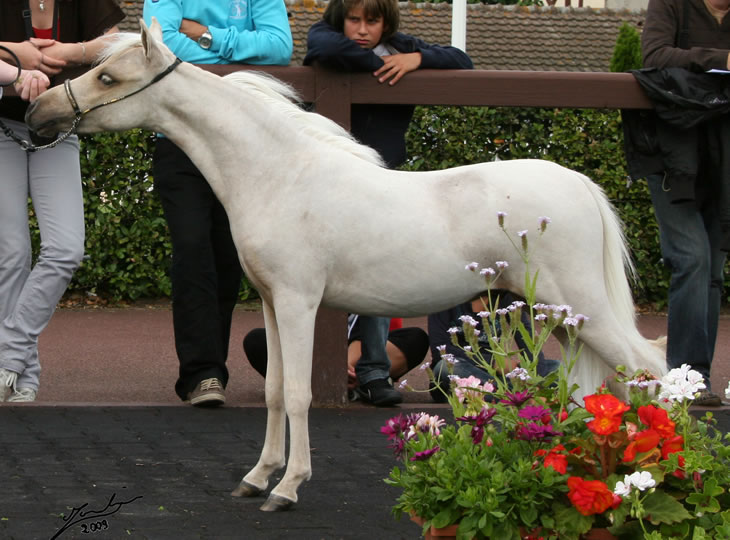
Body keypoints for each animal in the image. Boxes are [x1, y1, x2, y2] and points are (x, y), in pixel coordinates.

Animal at [25, 20, 664, 510]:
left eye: (108, 78)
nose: (36, 111)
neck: (279, 173)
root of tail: (580, 184)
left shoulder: (299, 302)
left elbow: (300, 394)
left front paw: (288, 488)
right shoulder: (271, 303)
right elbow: (276, 391)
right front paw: (257, 478)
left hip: (580, 305)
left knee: (645, 370)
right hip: (562, 316)